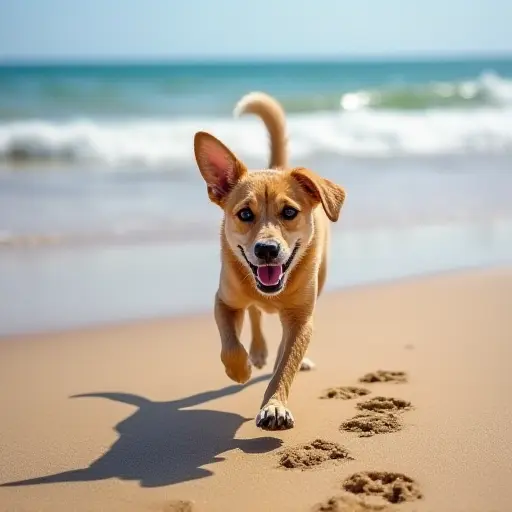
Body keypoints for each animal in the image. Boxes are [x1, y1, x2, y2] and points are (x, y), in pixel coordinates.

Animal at [194, 93, 346, 432]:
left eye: (289, 212)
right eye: (245, 213)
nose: (266, 249)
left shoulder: (301, 318)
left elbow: (285, 364)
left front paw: (274, 406)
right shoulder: (223, 300)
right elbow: (230, 344)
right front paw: (240, 369)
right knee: (253, 313)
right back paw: (258, 353)